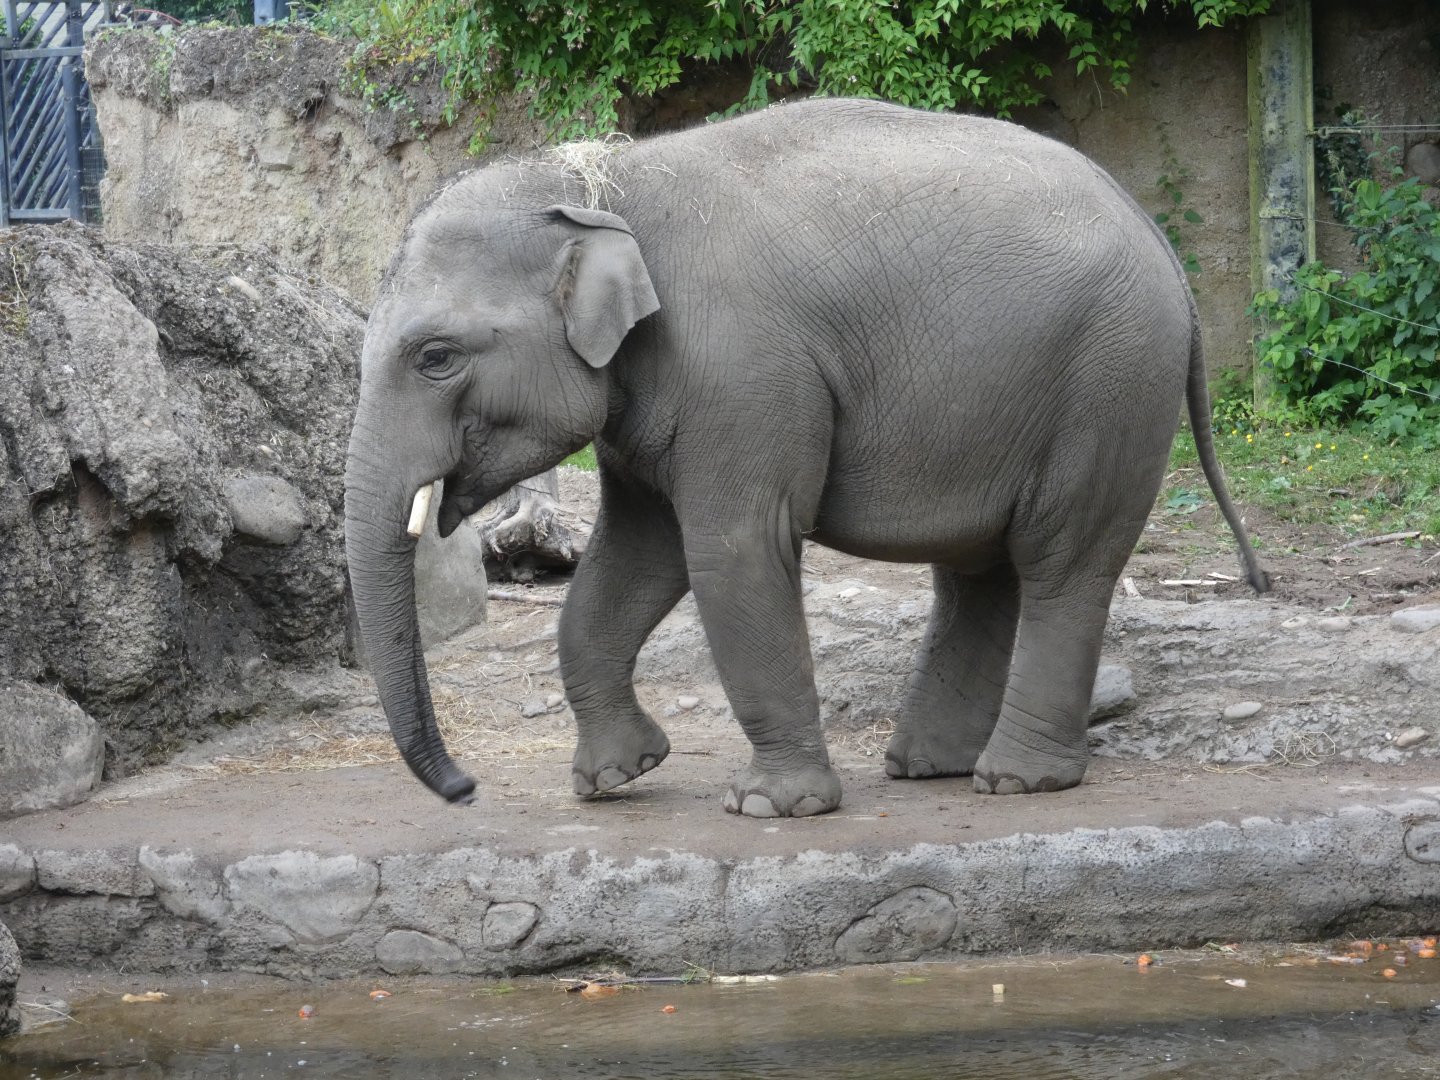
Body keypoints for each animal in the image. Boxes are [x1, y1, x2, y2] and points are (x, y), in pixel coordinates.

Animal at [344, 97, 1268, 819]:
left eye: (435, 357)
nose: (466, 788)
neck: (602, 185)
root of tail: (1158, 237)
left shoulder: (741, 371)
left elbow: (732, 551)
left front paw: (769, 806)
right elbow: (636, 556)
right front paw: (614, 777)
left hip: (1110, 384)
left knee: (1060, 563)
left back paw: (1016, 782)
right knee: (983, 570)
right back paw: (928, 767)